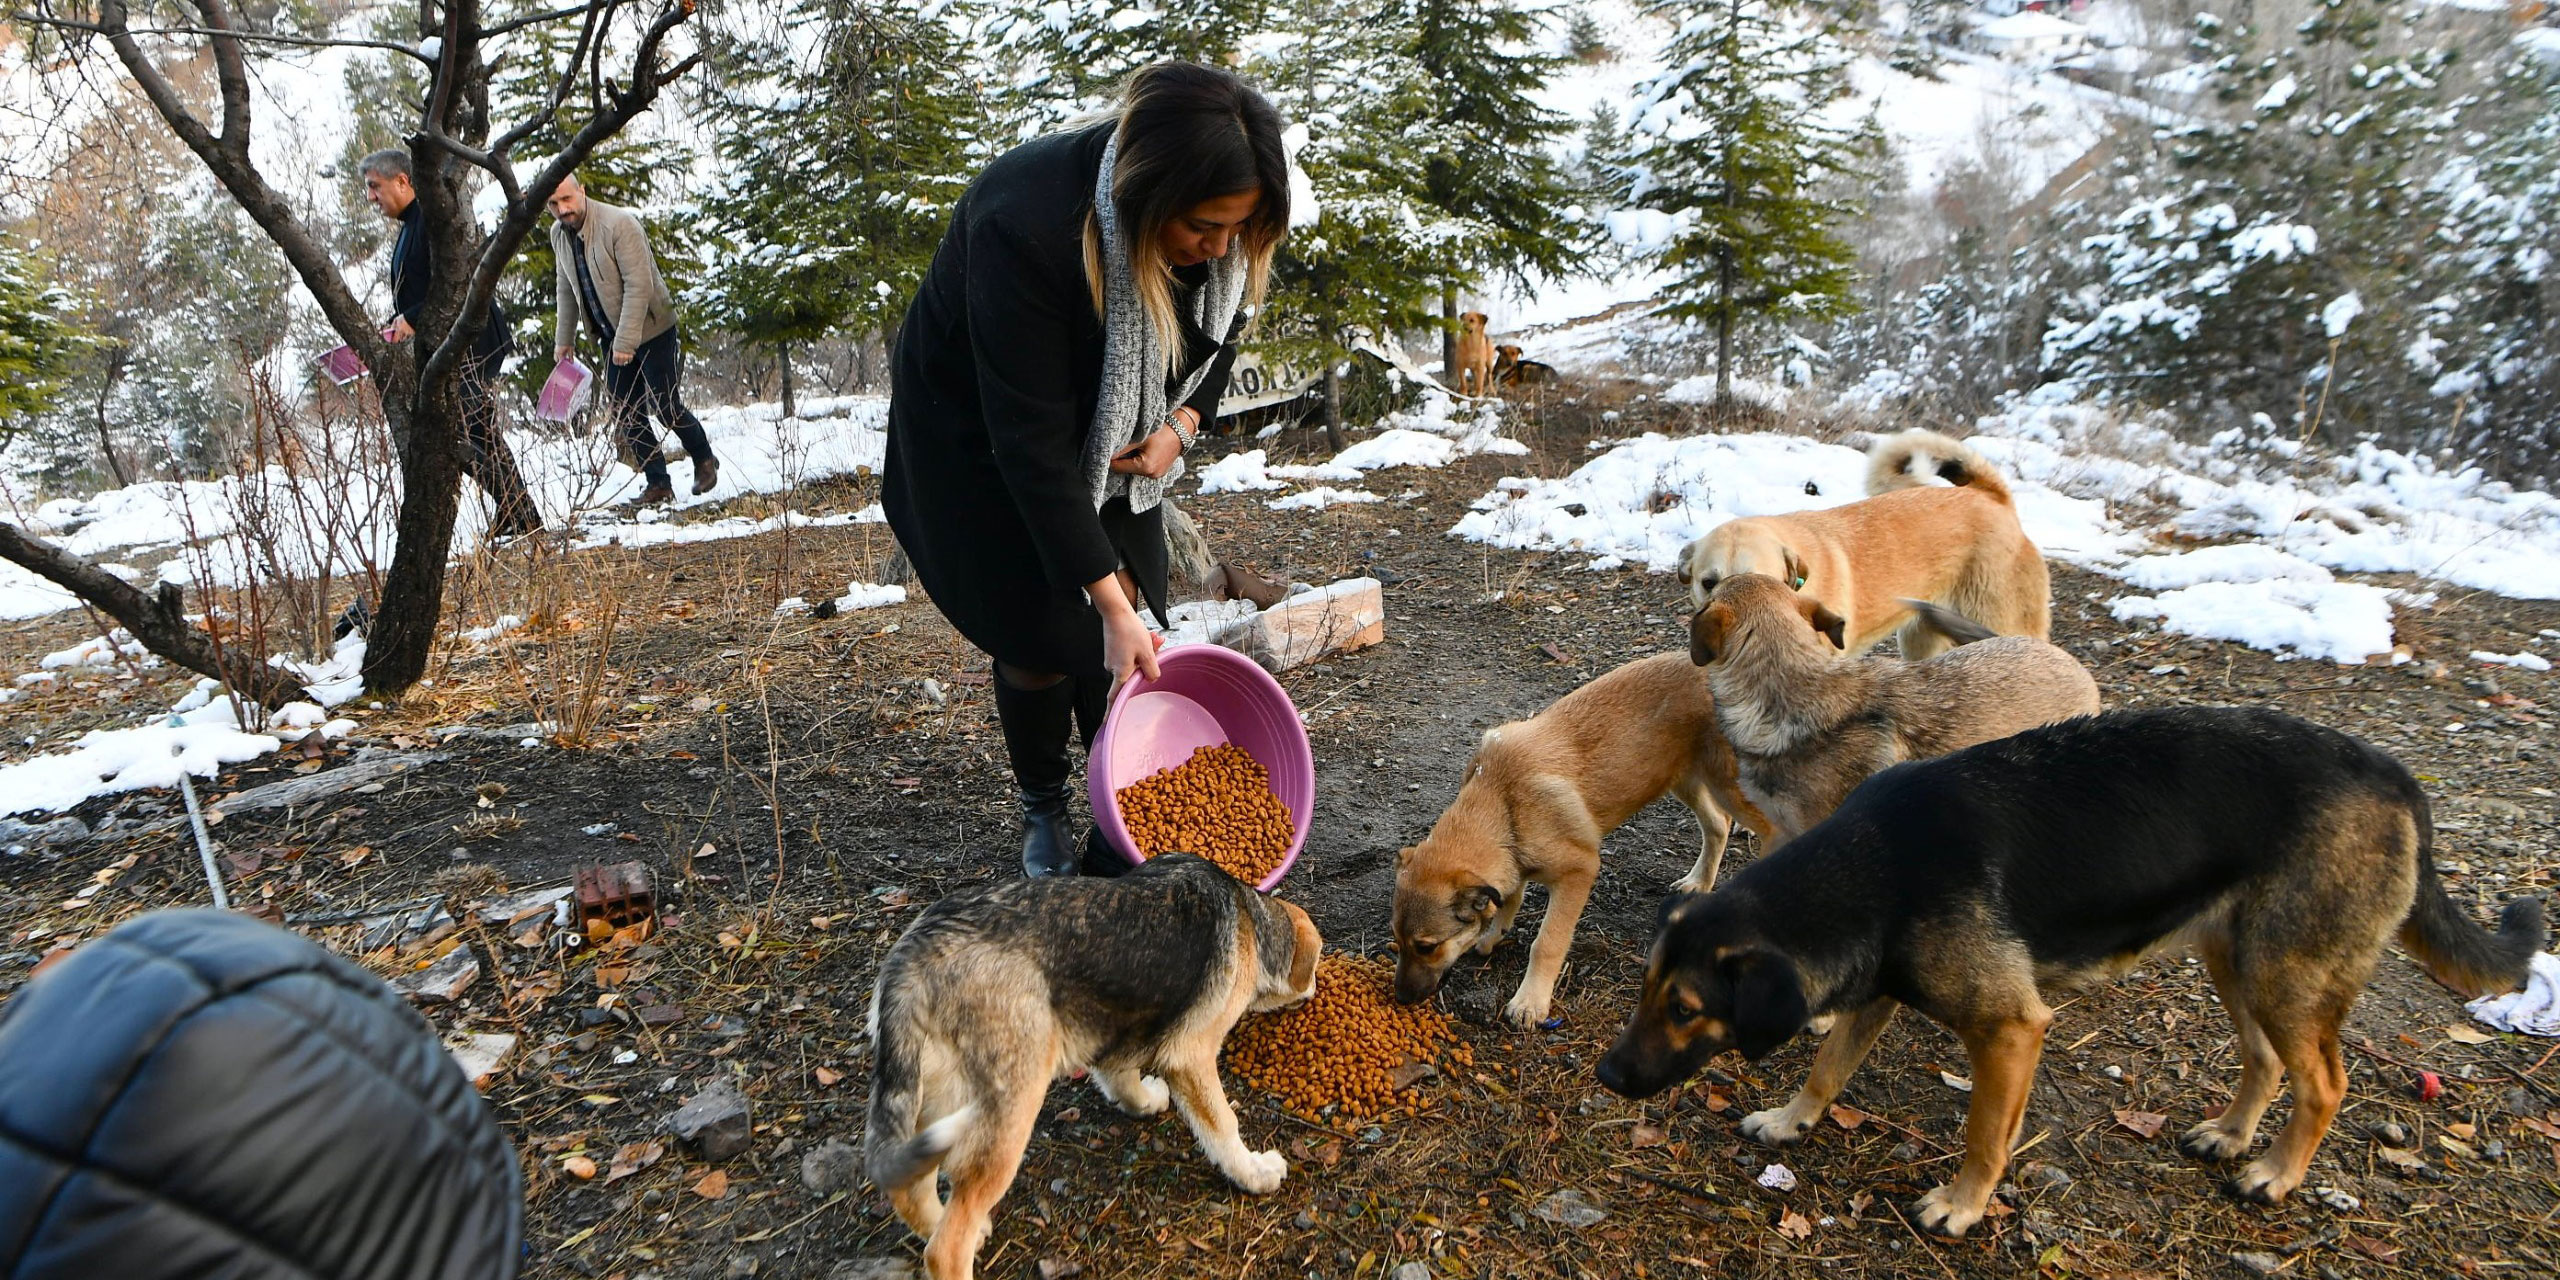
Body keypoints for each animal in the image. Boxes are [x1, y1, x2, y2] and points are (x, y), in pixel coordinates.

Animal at [875, 855, 1331, 1274]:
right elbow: (1224, 1126)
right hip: (1007, 1113)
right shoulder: (1191, 1056)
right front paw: (1254, 1172)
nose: (1315, 988)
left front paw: (1144, 1101)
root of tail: (909, 963)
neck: (1250, 916)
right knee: (944, 1248)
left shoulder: (1116, 1036)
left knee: (910, 1189)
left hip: (936, 1103)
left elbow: (1122, 1079)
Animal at [1392, 655, 1771, 1024]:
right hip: (1682, 778)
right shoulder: (1512, 865)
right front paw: (1492, 934)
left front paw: (1531, 1001)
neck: (1501, 803)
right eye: (1397, 942)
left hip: (1729, 784)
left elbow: (1546, 942)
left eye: (1426, 946)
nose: (1400, 999)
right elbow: (1510, 897)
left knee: (1770, 827)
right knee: (1718, 825)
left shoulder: (1579, 871)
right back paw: (1699, 882)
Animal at [1597, 706, 2539, 1233]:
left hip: (2284, 973)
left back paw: (2275, 1173)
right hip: (2235, 960)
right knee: (2267, 1061)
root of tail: (2397, 776)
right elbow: (1826, 1068)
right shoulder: (1878, 991)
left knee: (2325, 1082)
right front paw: (1792, 1121)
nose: (1607, 1075)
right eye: (1647, 992)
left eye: (1686, 1009)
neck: (1875, 872)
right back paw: (2233, 1135)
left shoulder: (2010, 1029)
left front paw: (1963, 1207)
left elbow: (1985, 1135)